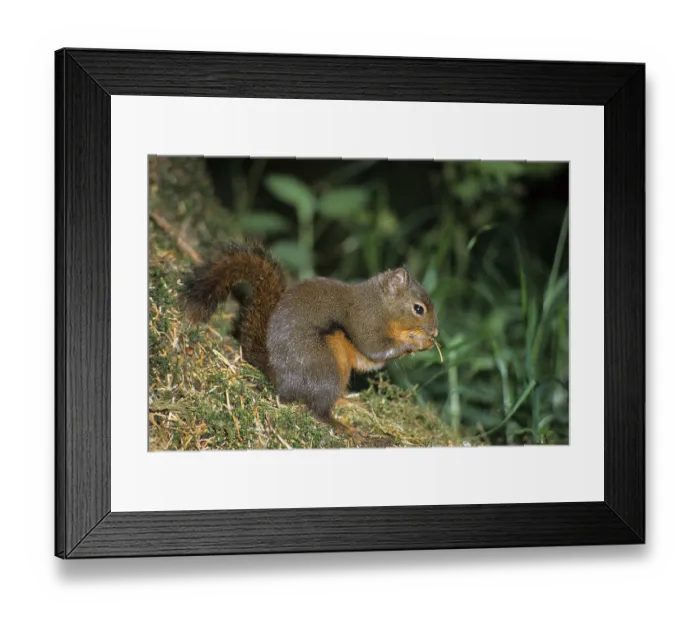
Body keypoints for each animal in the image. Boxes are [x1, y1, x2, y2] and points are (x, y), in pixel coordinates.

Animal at [181, 243, 439, 438]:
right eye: (418, 308)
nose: (435, 332)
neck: (380, 304)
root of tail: (279, 377)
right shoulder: (364, 320)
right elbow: (374, 349)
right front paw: (417, 342)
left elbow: (369, 361)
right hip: (325, 367)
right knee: (318, 410)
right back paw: (341, 425)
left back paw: (347, 403)